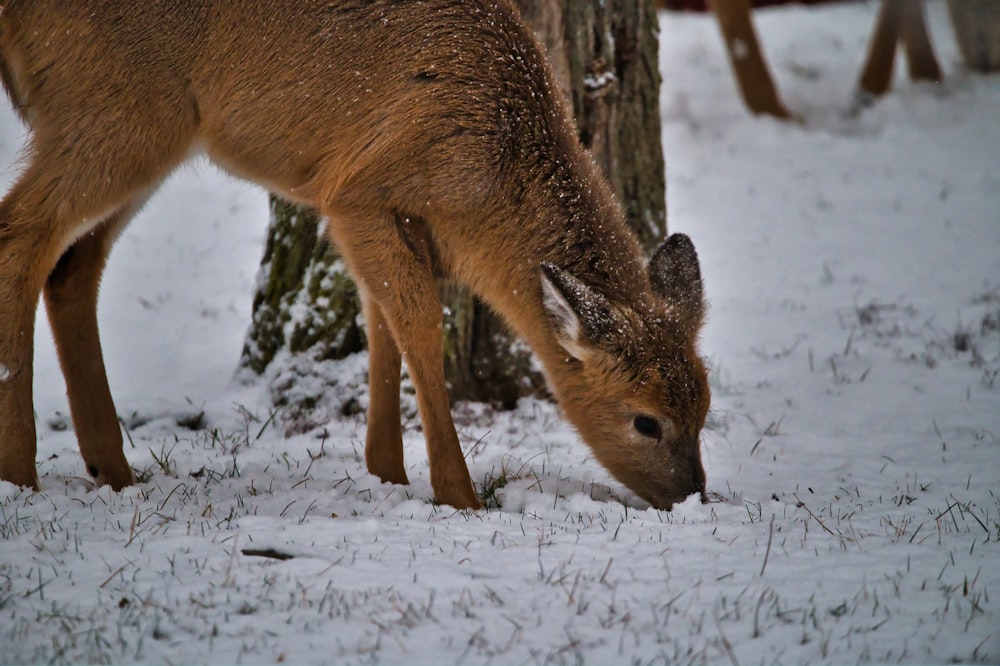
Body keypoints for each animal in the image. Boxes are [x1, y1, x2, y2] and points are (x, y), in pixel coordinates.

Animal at [0, 0, 712, 508]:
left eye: (704, 409)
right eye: (646, 421)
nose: (692, 496)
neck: (492, 168)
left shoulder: (389, 218)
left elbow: (383, 326)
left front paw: (387, 473)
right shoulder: (358, 193)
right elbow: (420, 326)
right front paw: (459, 496)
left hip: (141, 130)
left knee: (72, 269)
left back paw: (114, 470)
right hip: (114, 108)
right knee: (20, 234)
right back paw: (21, 473)